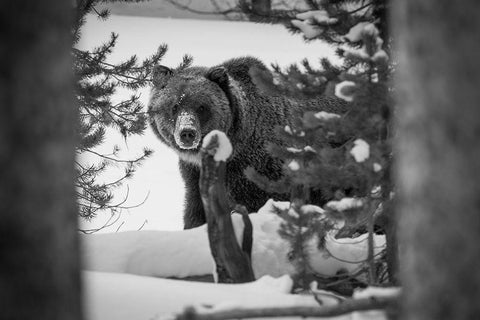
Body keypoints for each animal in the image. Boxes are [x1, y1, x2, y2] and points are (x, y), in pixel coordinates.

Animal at [147, 57, 344, 228]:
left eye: (201, 107)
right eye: (174, 106)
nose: (187, 132)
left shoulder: (256, 172)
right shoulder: (194, 174)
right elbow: (196, 209)